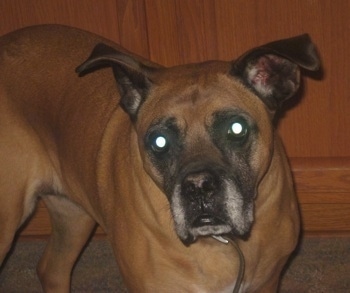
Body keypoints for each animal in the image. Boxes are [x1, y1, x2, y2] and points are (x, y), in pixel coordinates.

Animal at [0, 25, 320, 292]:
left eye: (236, 128)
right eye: (159, 141)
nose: (199, 186)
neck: (225, 243)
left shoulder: (266, 282)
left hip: (74, 216)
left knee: (51, 269)